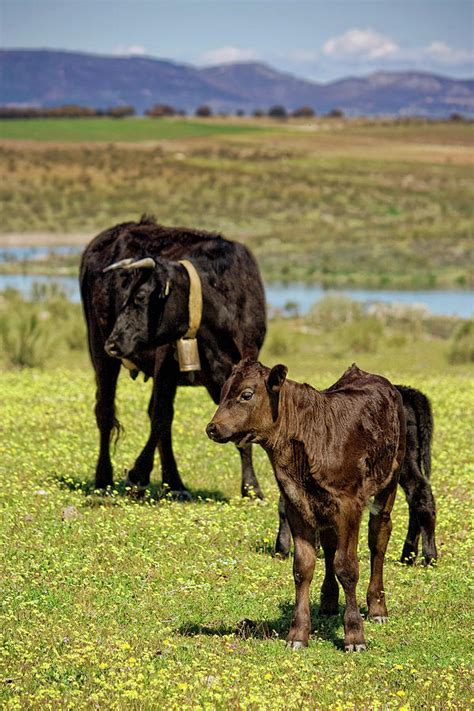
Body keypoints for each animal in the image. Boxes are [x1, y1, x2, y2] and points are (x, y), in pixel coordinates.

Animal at [80, 214, 266, 498]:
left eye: (140, 296)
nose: (114, 342)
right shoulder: (165, 362)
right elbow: (160, 416)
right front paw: (137, 474)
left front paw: (251, 488)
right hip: (98, 350)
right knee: (106, 409)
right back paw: (103, 479)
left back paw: (175, 484)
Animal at [206, 362, 406, 652]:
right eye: (222, 392)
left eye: (246, 394)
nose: (212, 428)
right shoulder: (296, 505)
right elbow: (303, 567)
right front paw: (298, 634)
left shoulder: (349, 505)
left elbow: (347, 567)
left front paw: (354, 635)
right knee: (331, 545)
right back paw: (329, 601)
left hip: (388, 483)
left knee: (378, 539)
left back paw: (377, 607)